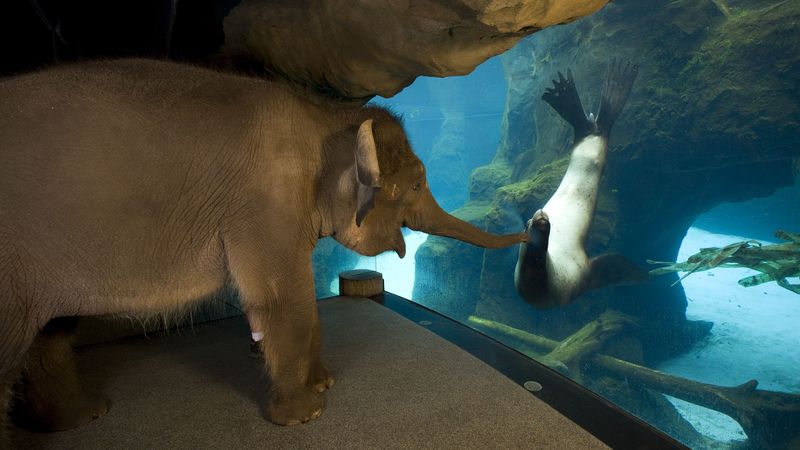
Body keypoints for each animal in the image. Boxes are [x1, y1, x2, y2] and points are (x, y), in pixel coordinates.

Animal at [0, 59, 527, 439]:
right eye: (417, 184)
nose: (530, 229)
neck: (324, 115)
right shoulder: (263, 204)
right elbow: (283, 298)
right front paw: (307, 414)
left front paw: (324, 382)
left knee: (51, 332)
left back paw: (83, 416)